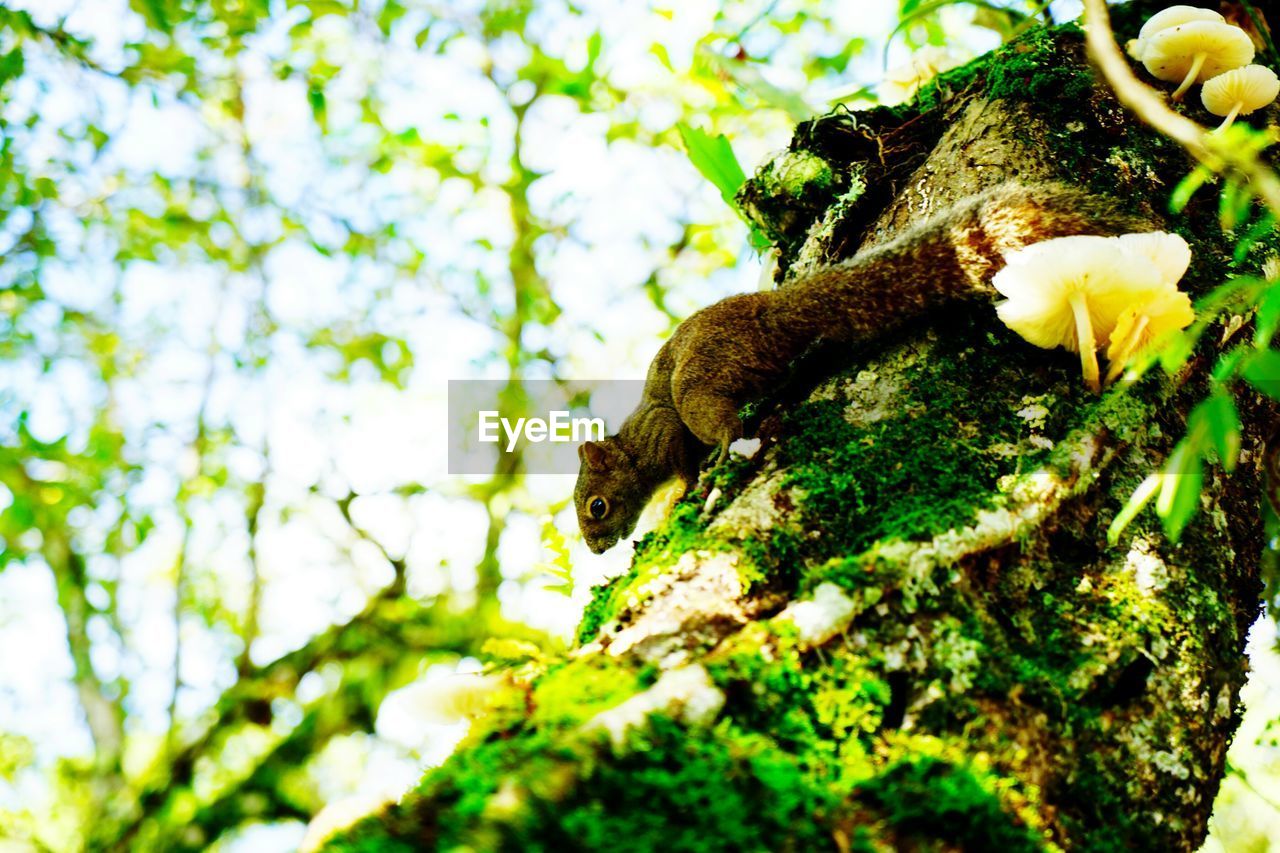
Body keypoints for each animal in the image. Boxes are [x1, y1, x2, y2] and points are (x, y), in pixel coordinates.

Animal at [573, 180, 1152, 550]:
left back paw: (727, 450)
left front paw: (681, 494)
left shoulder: (664, 432)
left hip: (704, 378)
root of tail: (778, 310)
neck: (630, 448)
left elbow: (683, 463)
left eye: (596, 506)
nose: (598, 550)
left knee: (722, 421)